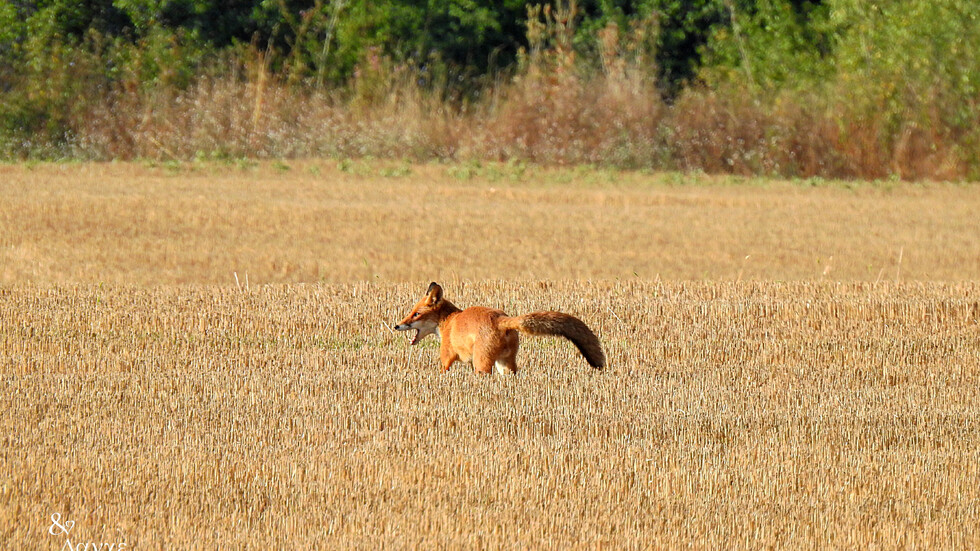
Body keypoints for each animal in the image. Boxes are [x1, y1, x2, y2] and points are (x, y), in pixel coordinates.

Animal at [394, 282, 600, 374]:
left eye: (416, 314)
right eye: (411, 312)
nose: (396, 326)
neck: (450, 322)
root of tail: (501, 319)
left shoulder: (447, 358)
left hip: (483, 363)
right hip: (505, 364)